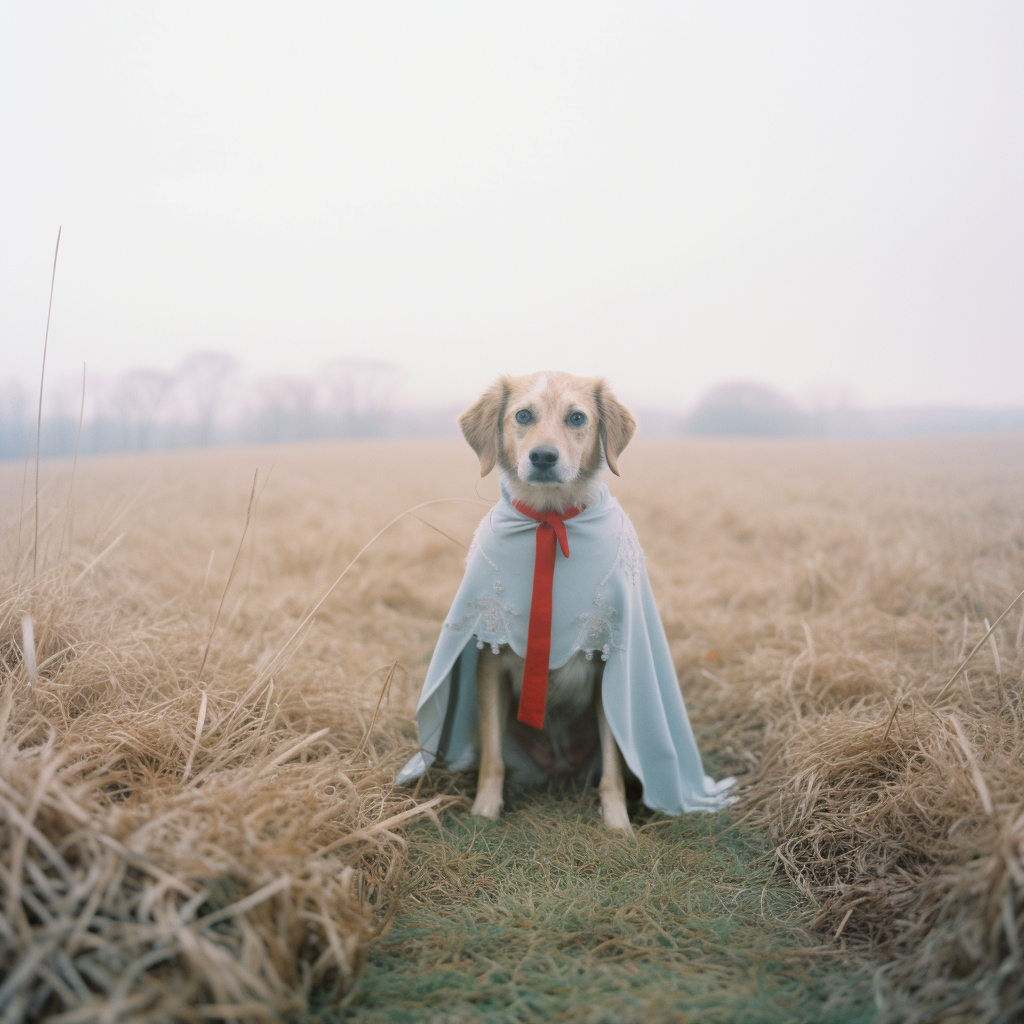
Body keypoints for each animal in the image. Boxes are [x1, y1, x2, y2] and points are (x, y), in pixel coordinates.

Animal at [458, 374, 634, 831]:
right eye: (523, 416)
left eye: (577, 418)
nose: (543, 456)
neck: (549, 522)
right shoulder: (491, 661)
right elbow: (493, 760)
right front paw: (484, 811)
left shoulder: (609, 666)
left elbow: (612, 767)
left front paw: (617, 822)